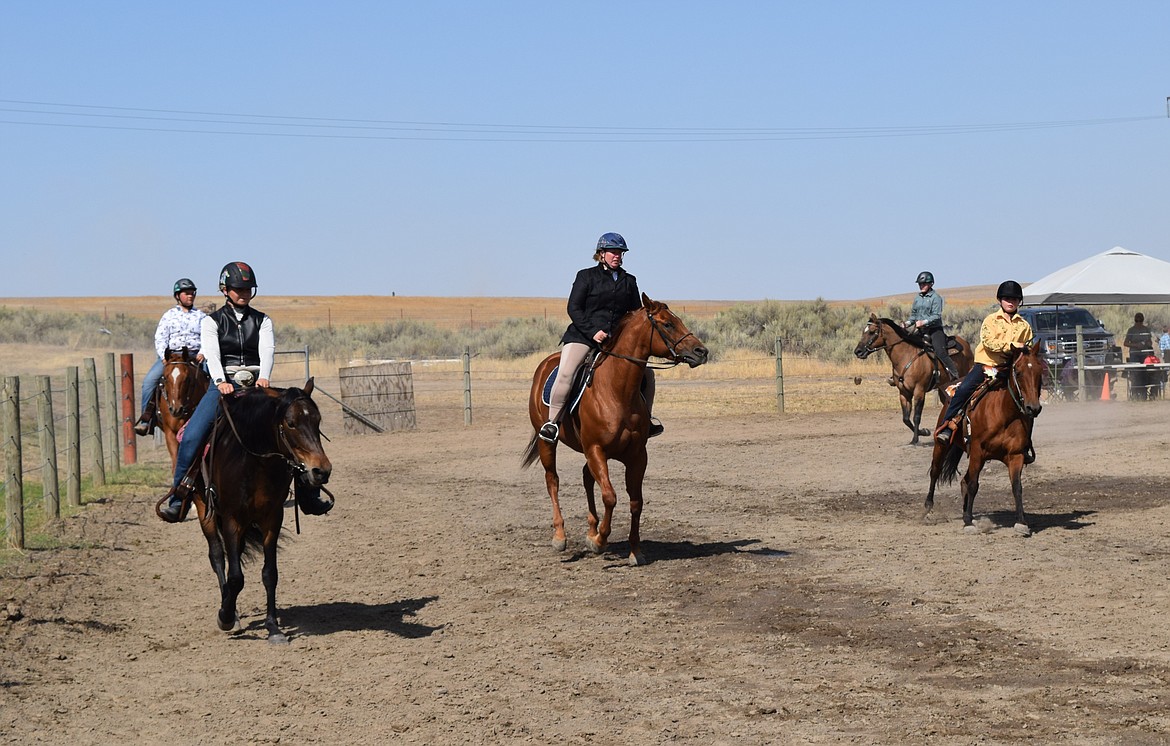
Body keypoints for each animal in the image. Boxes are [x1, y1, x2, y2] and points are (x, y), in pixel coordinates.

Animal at [187, 383, 334, 645]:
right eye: (291, 423)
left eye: (317, 421)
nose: (321, 471)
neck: (255, 462)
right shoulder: (232, 519)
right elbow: (236, 577)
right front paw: (226, 616)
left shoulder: (272, 518)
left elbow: (269, 573)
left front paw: (273, 627)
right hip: (205, 509)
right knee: (217, 556)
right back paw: (230, 611)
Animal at [524, 294, 706, 570]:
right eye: (667, 324)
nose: (701, 352)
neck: (617, 391)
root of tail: (546, 363)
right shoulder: (597, 450)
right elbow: (610, 496)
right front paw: (600, 542)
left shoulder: (637, 456)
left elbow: (636, 502)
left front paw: (634, 551)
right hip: (550, 443)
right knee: (553, 480)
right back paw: (560, 537)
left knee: (586, 478)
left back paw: (590, 530)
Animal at [856, 313, 973, 444]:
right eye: (864, 331)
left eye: (872, 332)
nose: (858, 351)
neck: (906, 356)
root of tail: (966, 344)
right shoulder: (903, 392)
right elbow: (906, 418)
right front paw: (924, 432)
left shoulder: (919, 391)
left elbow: (916, 416)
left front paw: (915, 439)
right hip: (943, 388)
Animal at [926, 346, 1048, 537]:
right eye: (1018, 372)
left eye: (1039, 371)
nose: (1033, 408)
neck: (1004, 413)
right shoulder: (977, 451)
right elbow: (973, 485)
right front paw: (968, 524)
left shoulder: (1016, 455)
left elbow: (1017, 487)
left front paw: (1021, 523)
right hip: (942, 444)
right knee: (935, 471)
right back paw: (929, 510)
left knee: (963, 481)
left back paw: (965, 514)